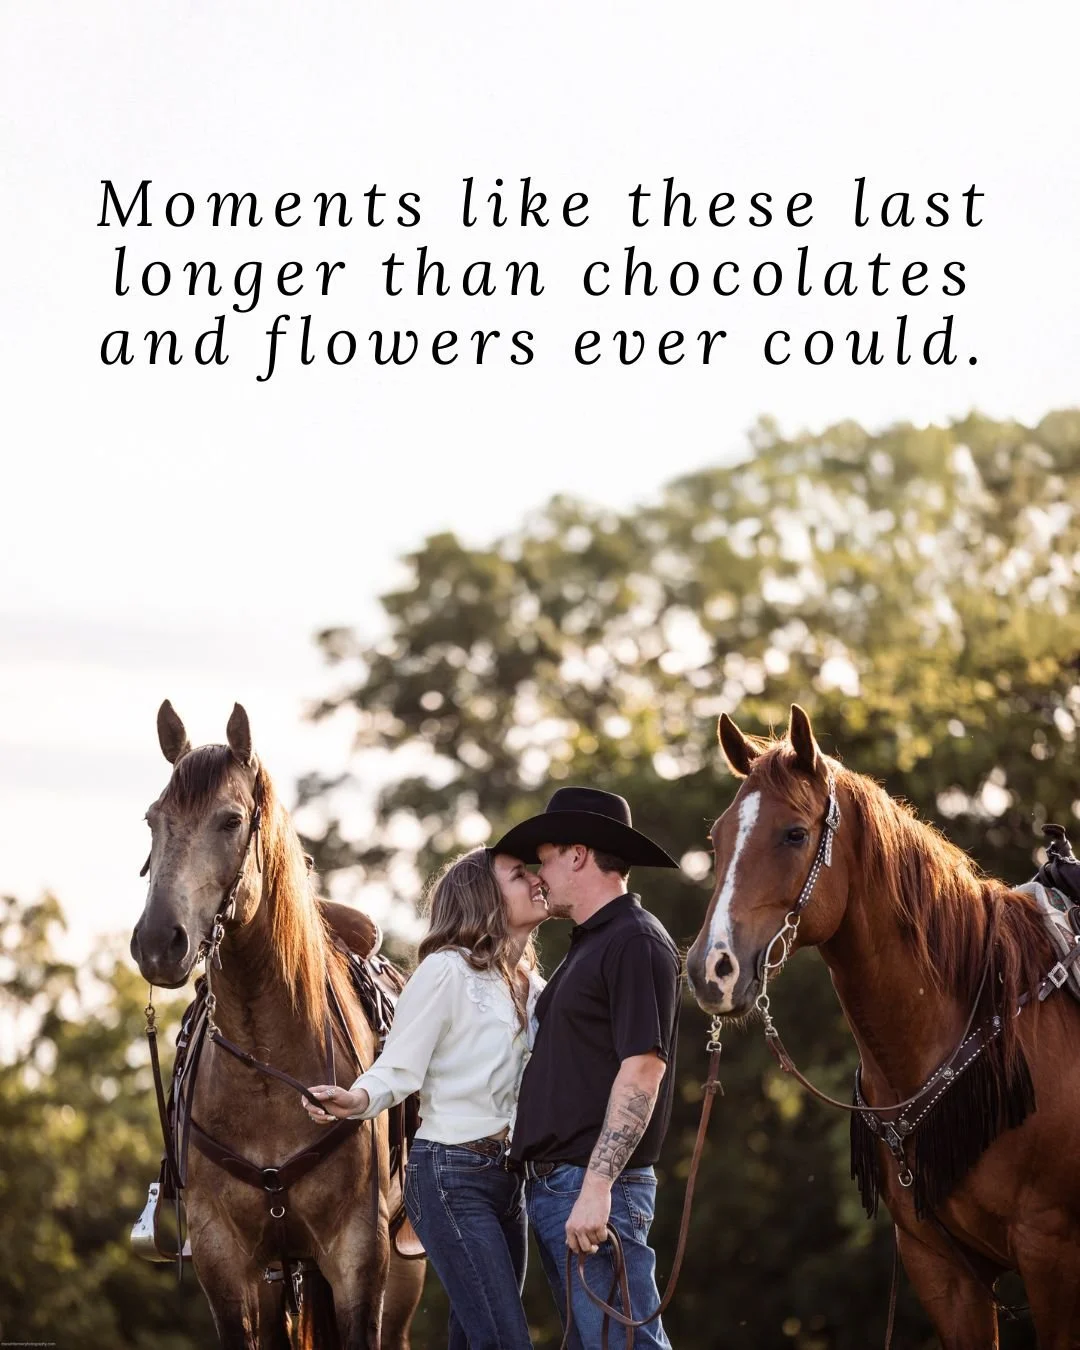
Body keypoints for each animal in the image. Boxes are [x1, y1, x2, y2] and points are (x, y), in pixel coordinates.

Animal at [130, 700, 425, 1349]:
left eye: (231, 820)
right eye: (152, 820)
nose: (159, 943)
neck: (269, 1070)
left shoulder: (360, 1257)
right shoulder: (224, 1259)